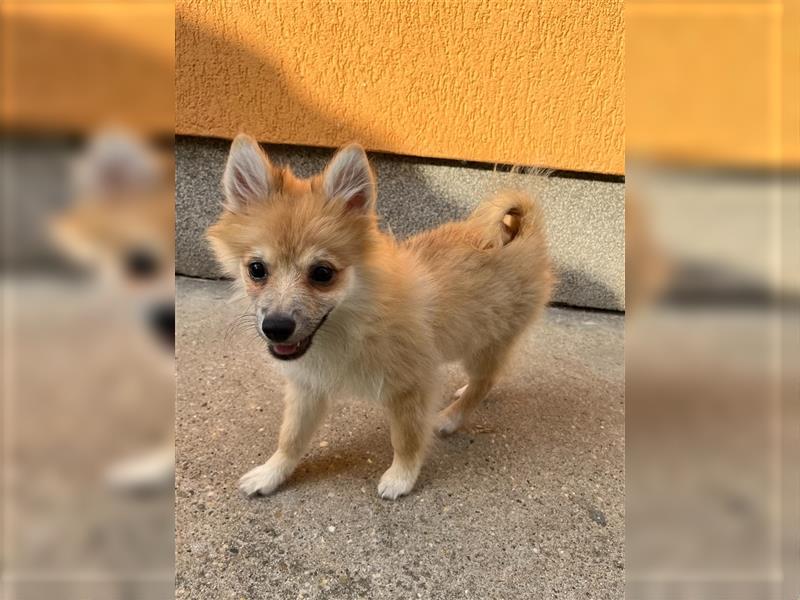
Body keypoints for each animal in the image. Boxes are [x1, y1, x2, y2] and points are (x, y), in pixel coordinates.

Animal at [208, 135, 552, 496]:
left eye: (322, 273)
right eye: (256, 269)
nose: (276, 327)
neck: (355, 322)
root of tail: (526, 234)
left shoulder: (410, 388)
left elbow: (406, 440)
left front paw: (402, 477)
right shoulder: (308, 388)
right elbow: (291, 437)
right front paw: (271, 473)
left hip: (485, 343)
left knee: (485, 380)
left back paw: (451, 416)